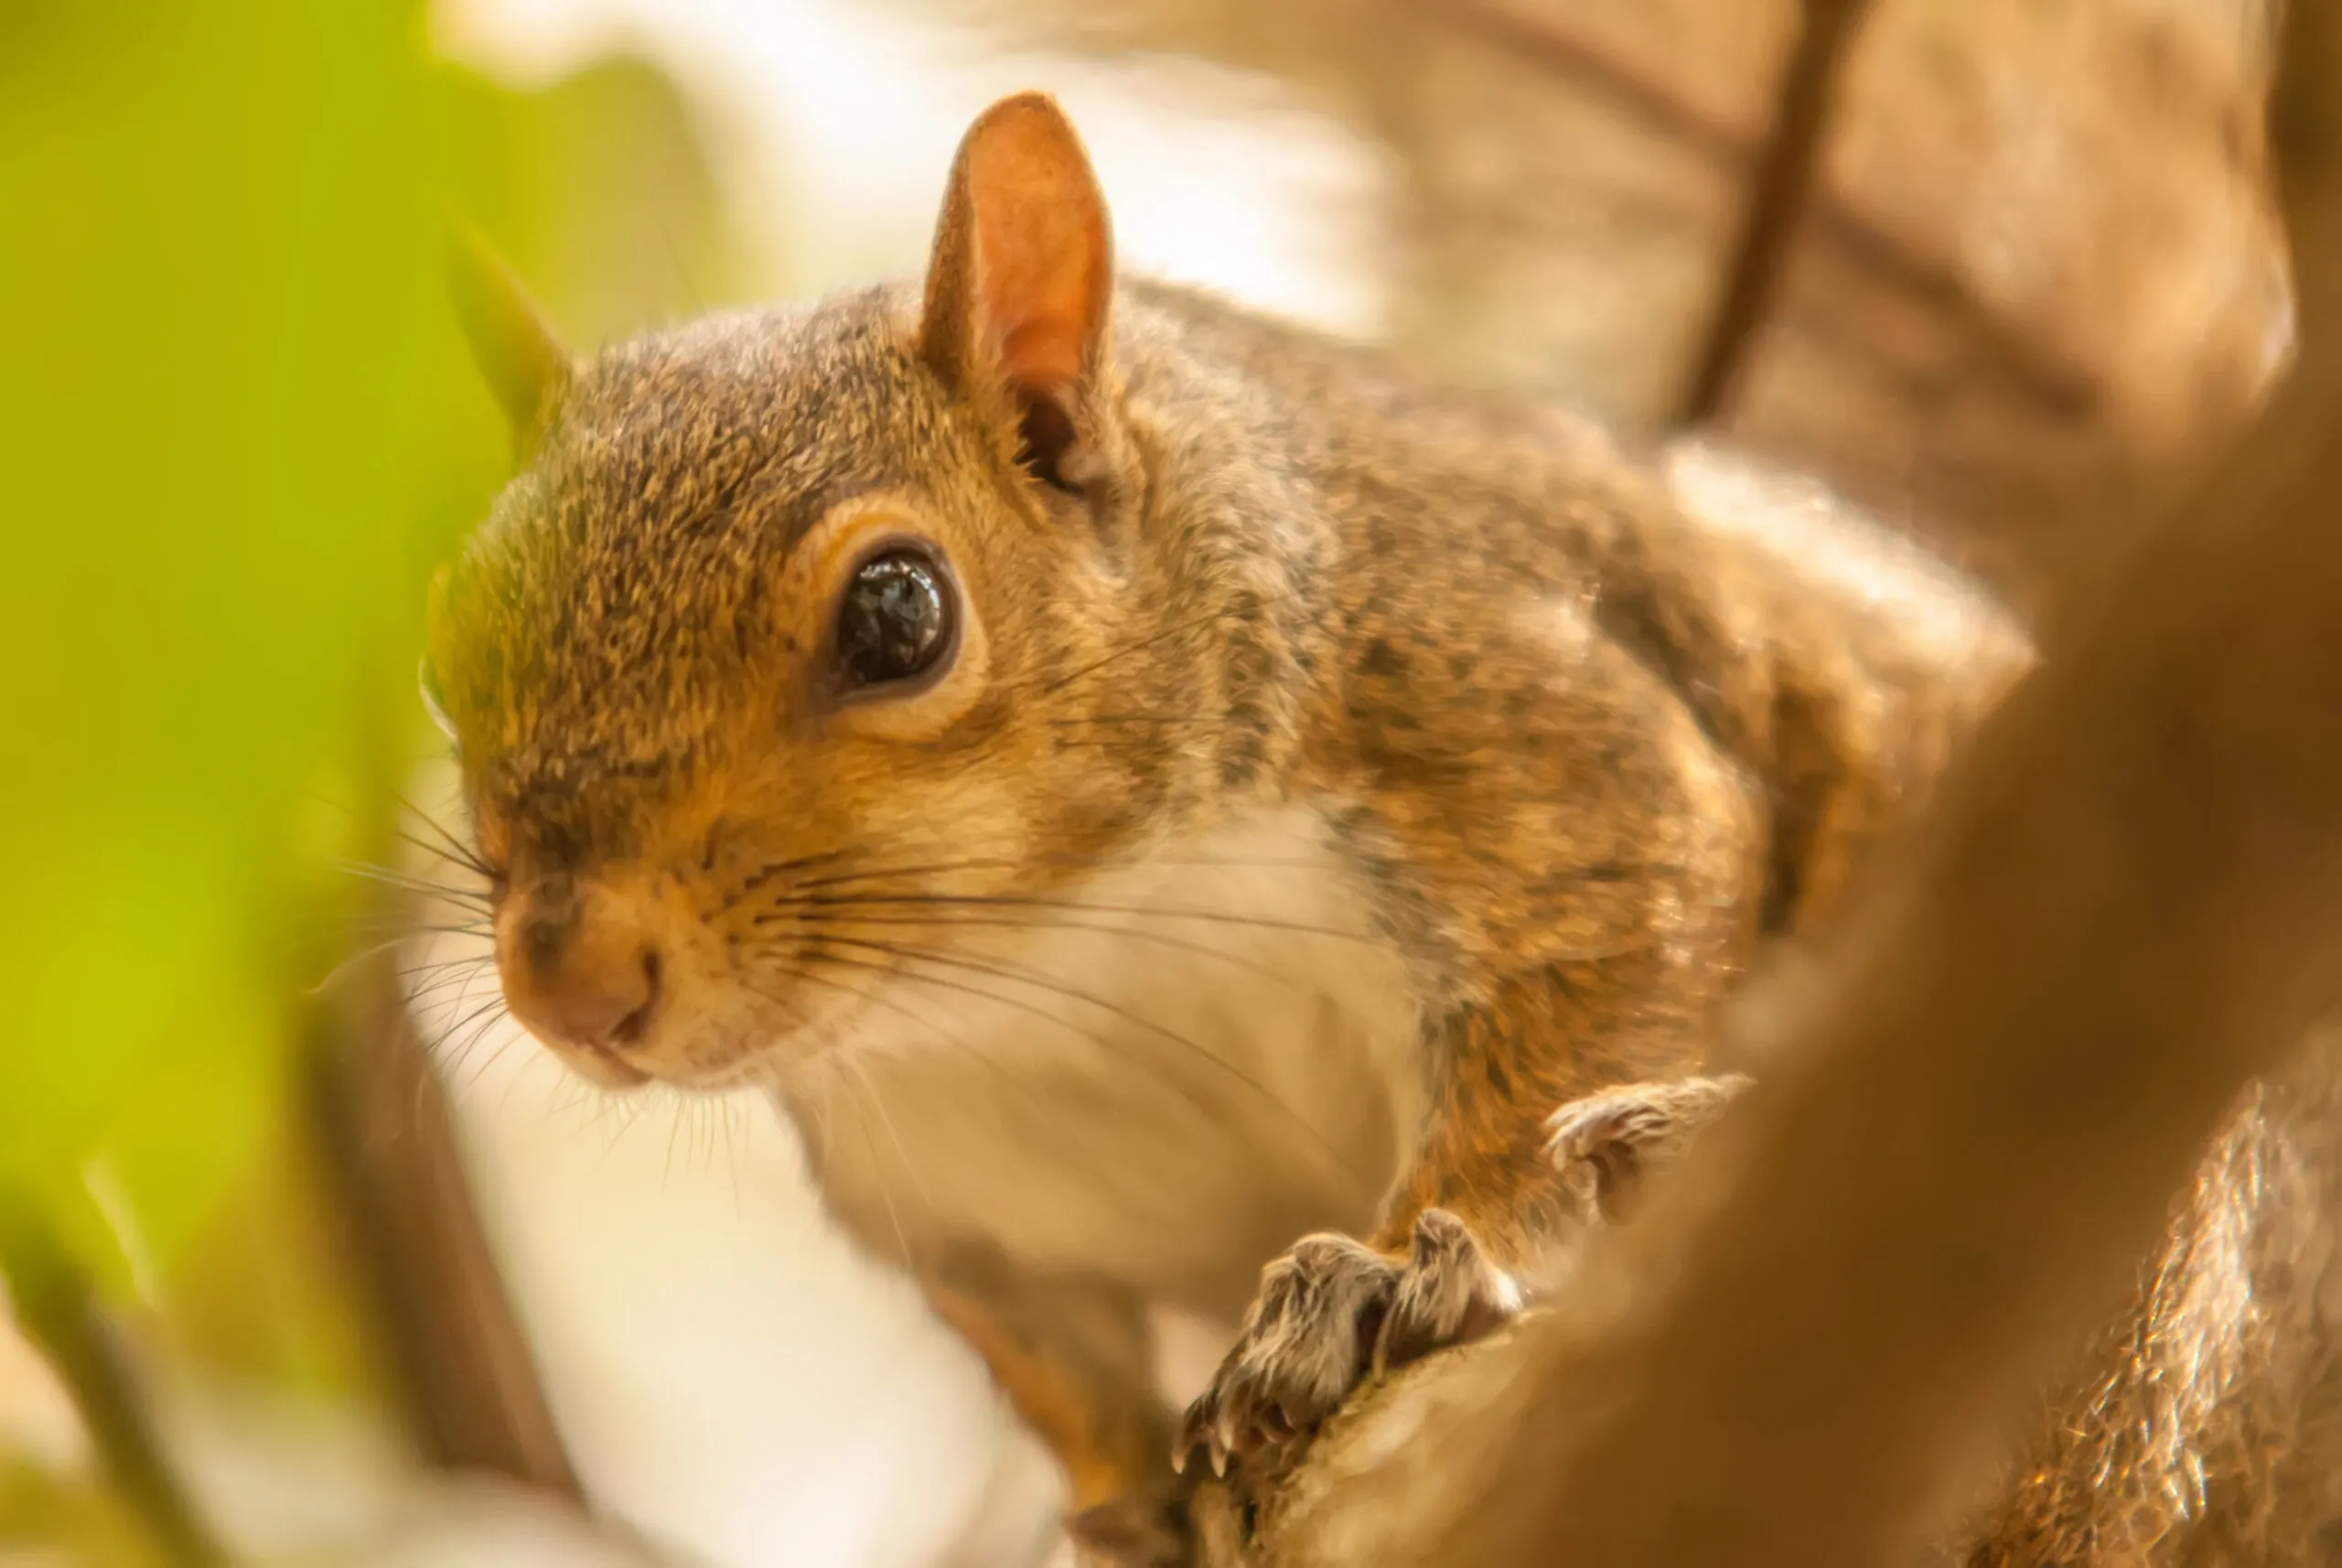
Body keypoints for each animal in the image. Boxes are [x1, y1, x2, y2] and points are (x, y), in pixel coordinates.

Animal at [427, 89, 2336, 1565]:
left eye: (900, 613)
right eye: (447, 643)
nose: (569, 982)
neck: (1049, 969)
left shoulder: (1535, 738)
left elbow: (1567, 1009)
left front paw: (1387, 1283)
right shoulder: (960, 1205)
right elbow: (1059, 1368)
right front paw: (1126, 1502)